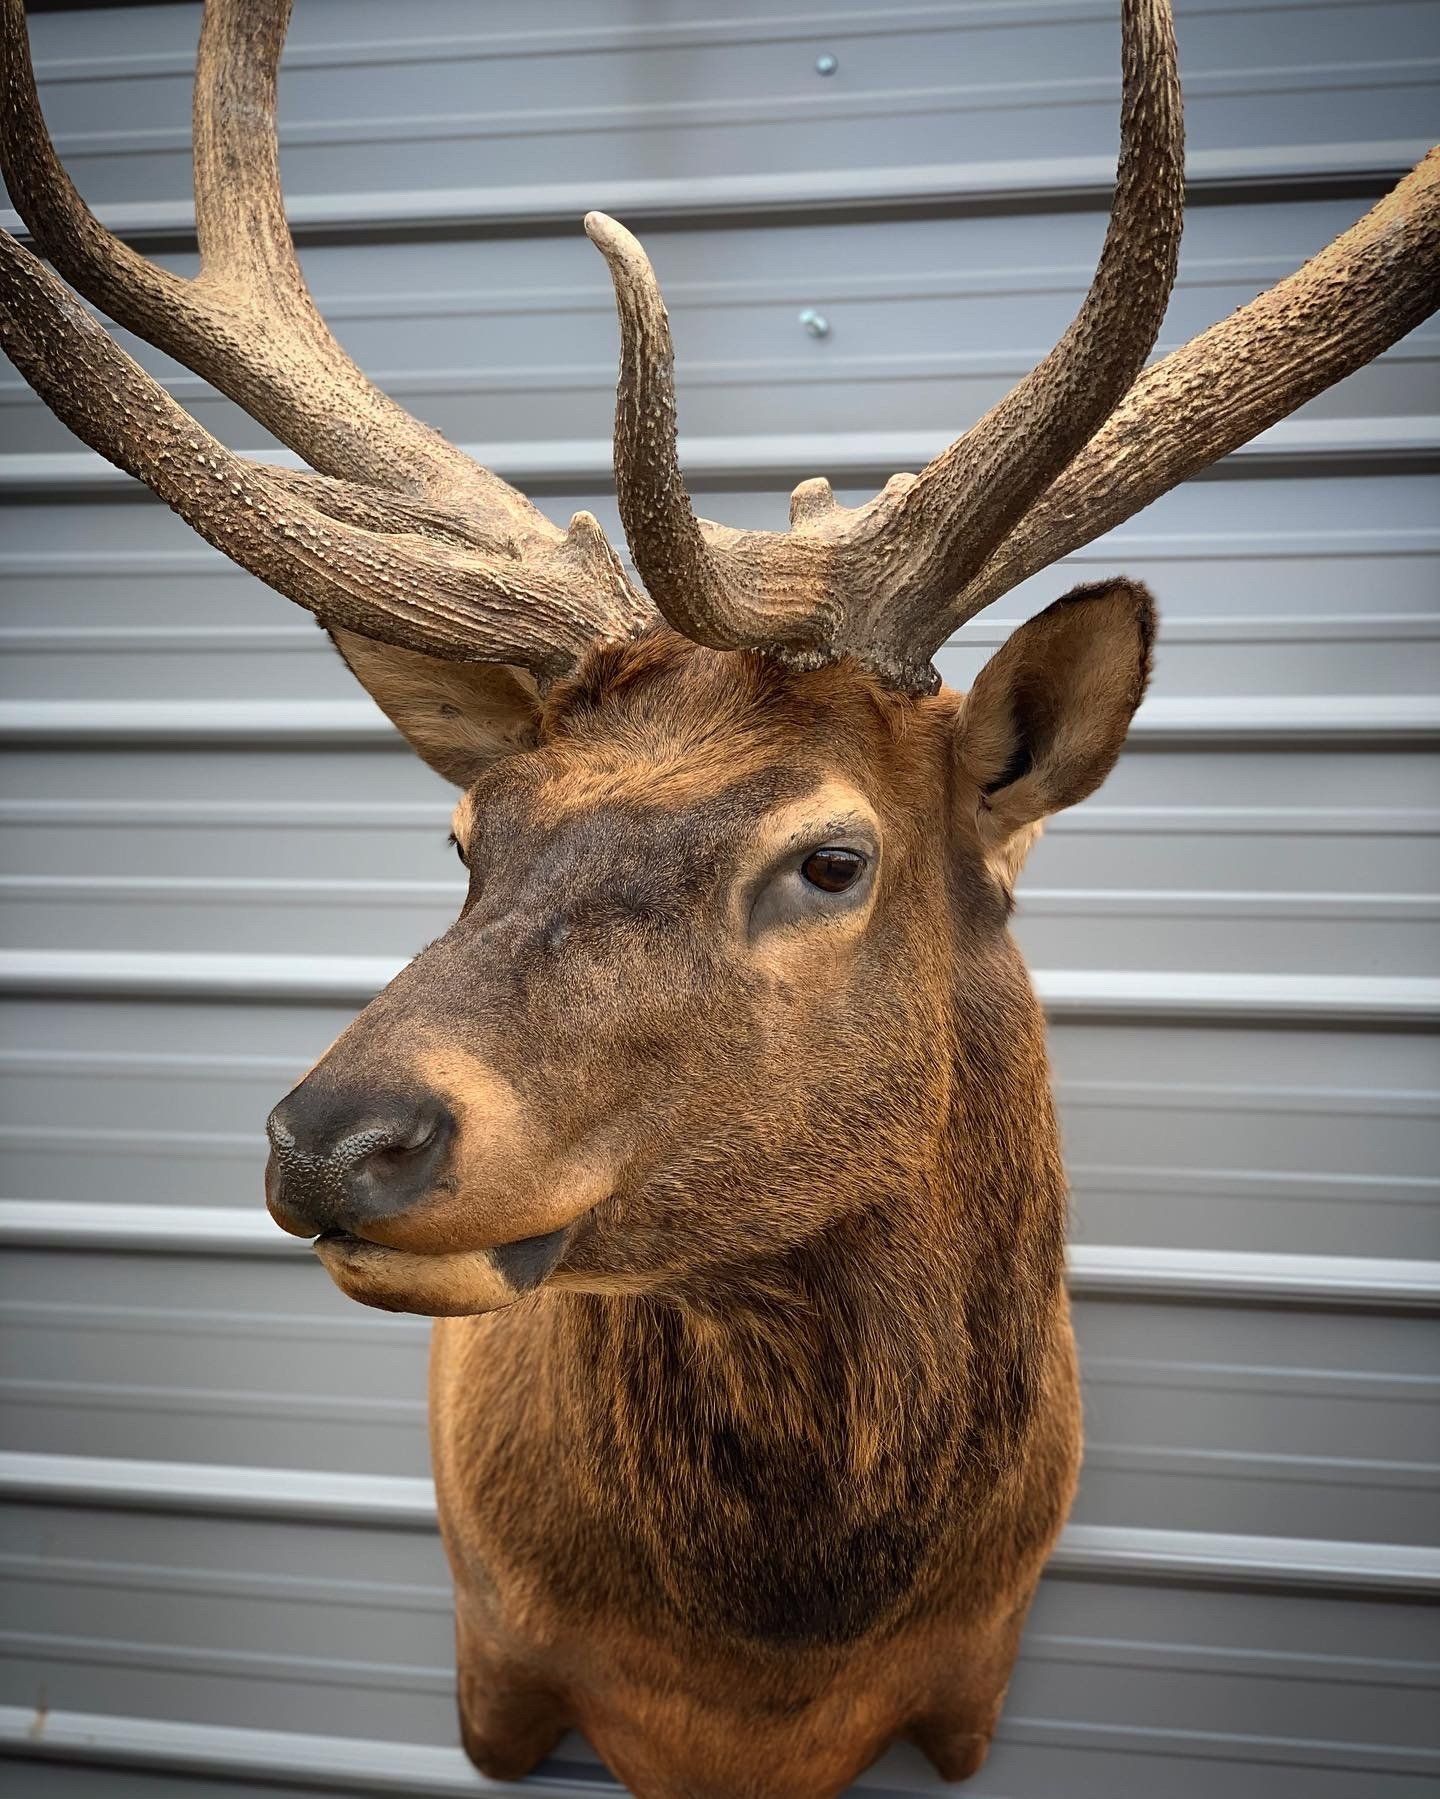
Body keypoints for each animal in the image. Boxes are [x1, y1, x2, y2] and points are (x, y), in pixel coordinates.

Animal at [2, 1, 1436, 1793]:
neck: (763, 1681)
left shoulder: (975, 1688)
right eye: (468, 833)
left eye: (832, 857)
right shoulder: (492, 1667)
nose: (336, 1136)